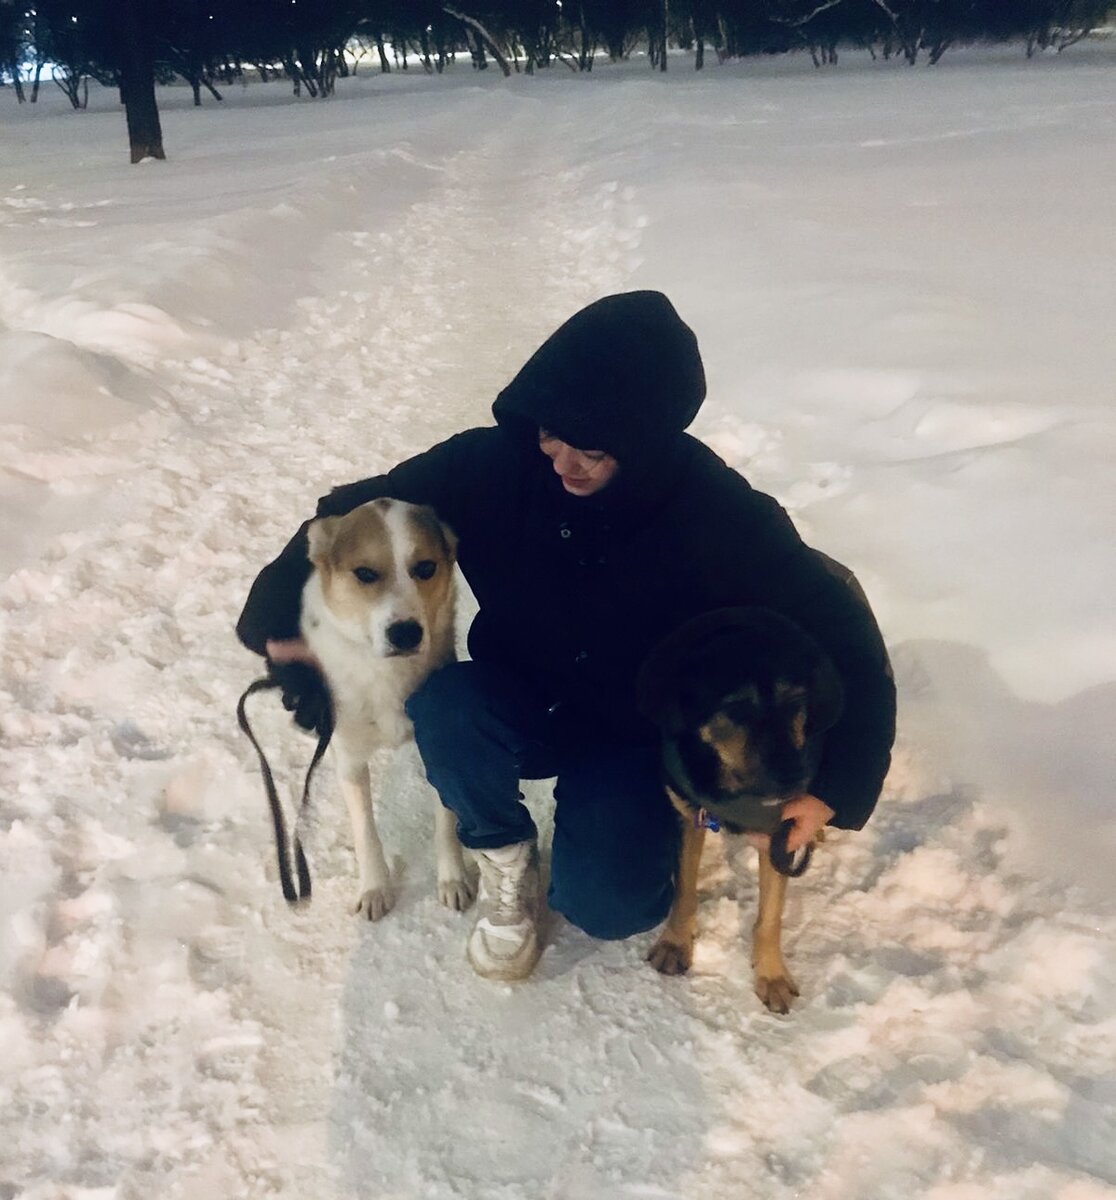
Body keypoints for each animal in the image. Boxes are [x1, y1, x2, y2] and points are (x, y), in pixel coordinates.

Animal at [297, 496, 472, 916]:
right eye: (365, 573)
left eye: (425, 568)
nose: (406, 633)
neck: (386, 675)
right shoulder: (349, 760)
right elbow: (366, 831)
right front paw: (375, 887)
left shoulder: (439, 749)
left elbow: (446, 822)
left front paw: (452, 877)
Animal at [628, 609, 840, 1012]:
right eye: (737, 708)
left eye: (796, 701)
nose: (795, 778)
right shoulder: (686, 816)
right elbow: (684, 891)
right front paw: (675, 943)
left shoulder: (781, 833)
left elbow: (770, 915)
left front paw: (772, 975)